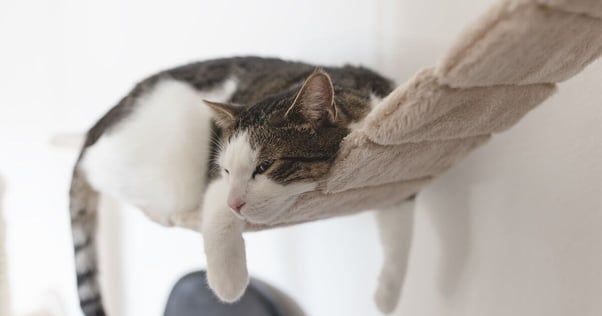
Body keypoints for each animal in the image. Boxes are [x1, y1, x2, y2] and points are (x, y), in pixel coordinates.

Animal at [70, 55, 414, 314]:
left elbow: (400, 226)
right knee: (100, 171)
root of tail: (99, 124)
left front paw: (387, 295)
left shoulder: (394, 159)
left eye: (264, 167)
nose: (235, 202)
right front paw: (228, 283)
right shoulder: (215, 184)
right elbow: (218, 220)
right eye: (225, 170)